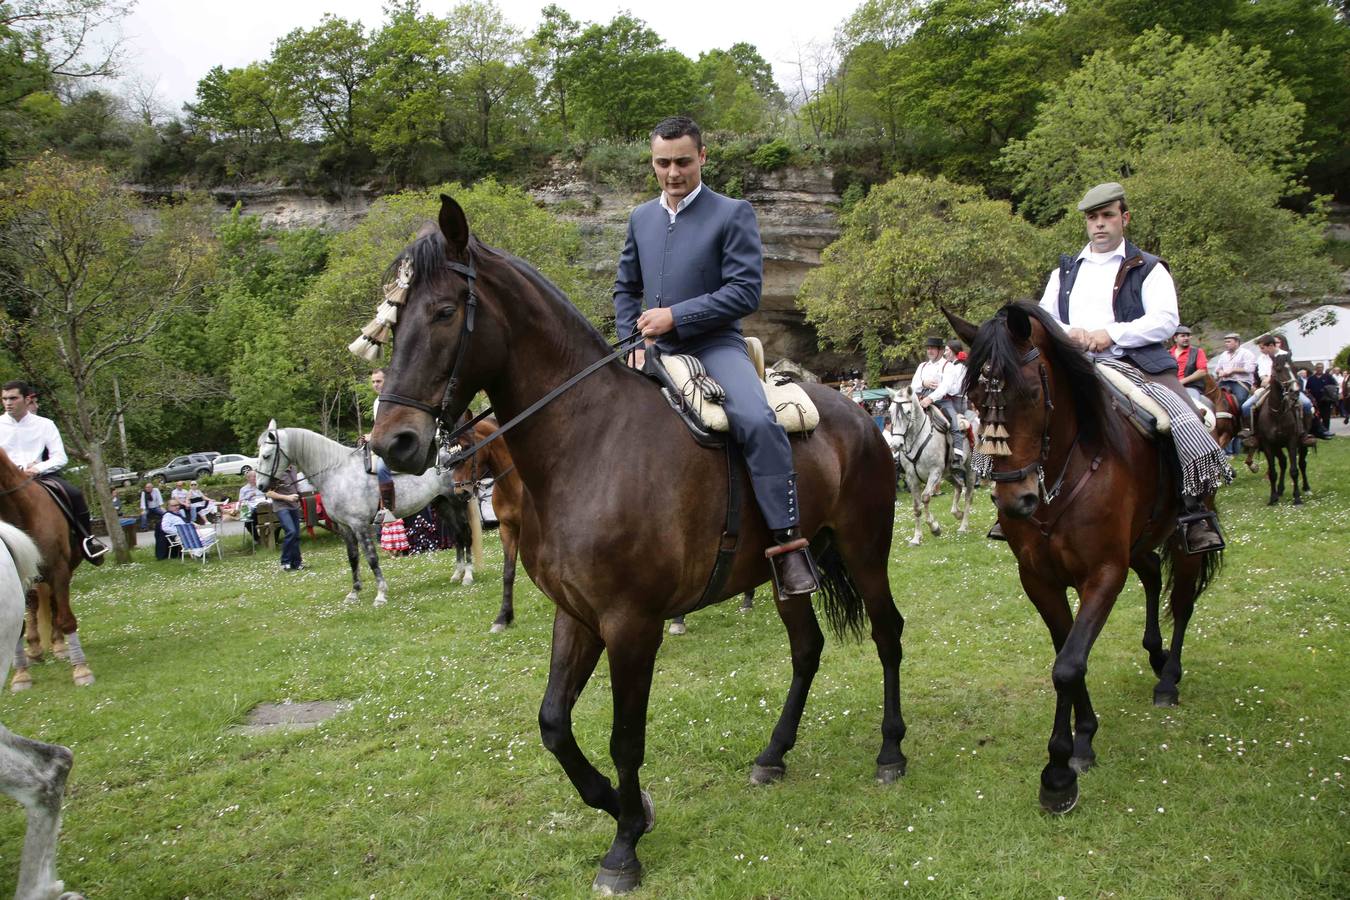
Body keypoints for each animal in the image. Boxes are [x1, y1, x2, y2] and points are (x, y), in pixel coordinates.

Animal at [0, 447, 95, 690]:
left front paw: (81, 670)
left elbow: (66, 618)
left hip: (65, 571)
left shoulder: (59, 570)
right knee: (34, 605)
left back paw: (59, 645)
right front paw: (21, 675)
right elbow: (20, 624)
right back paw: (34, 650)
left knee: (53, 604)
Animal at [253, 420, 480, 604]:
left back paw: (468, 575)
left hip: (456, 503)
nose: (261, 486)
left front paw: (380, 593)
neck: (337, 472)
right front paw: (354, 593)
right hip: (442, 505)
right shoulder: (345, 527)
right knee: (458, 536)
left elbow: (371, 557)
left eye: (266, 455)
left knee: (466, 534)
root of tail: (454, 455)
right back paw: (457, 574)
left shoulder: (360, 525)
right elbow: (353, 557)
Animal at [369, 197, 907, 895]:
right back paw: (773, 754)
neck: (589, 442)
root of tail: (859, 416)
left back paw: (891, 751)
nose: (393, 443)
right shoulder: (576, 615)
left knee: (888, 633)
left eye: (441, 312)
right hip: (788, 571)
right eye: (395, 319)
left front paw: (623, 846)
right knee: (807, 649)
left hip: (866, 549)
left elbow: (626, 736)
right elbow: (553, 723)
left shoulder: (631, 624)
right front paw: (626, 807)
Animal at [950, 302, 1225, 814]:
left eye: (1032, 393)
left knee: (1181, 602)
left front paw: (1058, 772)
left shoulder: (1103, 574)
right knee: (1152, 575)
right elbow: (1066, 653)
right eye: (974, 396)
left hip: (1183, 540)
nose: (1015, 501)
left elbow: (1067, 665)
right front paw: (1083, 737)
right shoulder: (1039, 580)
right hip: (1139, 544)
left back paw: (1168, 679)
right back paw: (1156, 654)